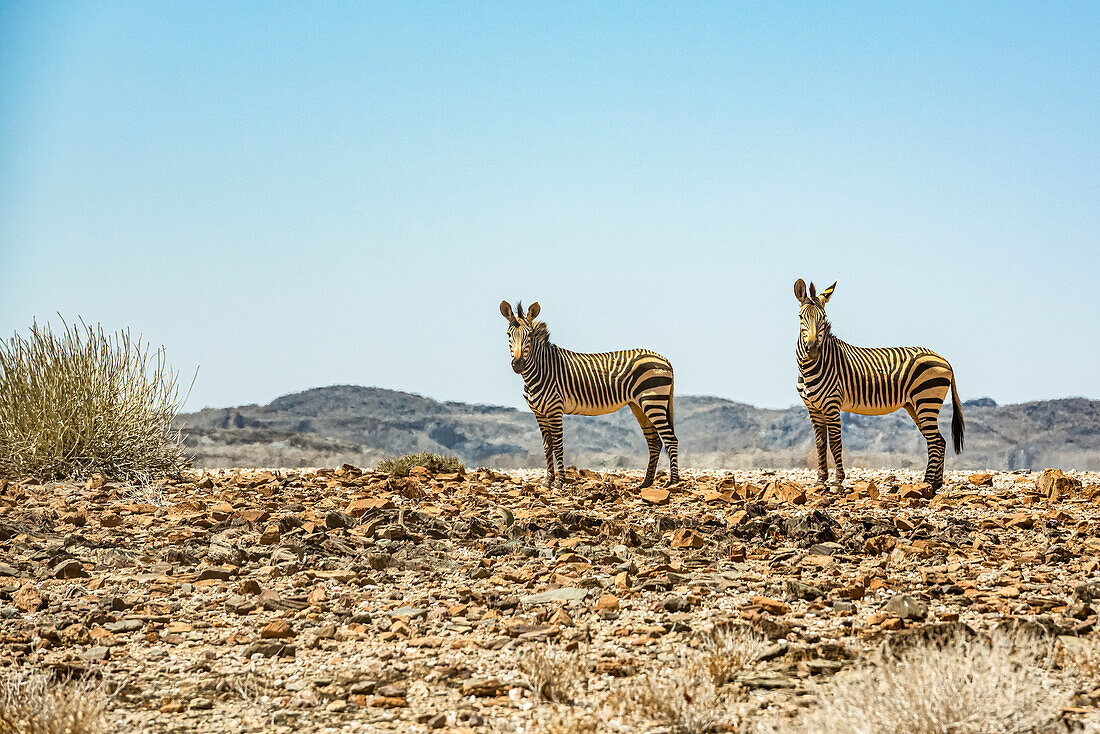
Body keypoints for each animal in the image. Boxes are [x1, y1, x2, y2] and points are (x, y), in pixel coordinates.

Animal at [501, 301, 677, 490]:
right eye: (508, 334)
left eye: (530, 335)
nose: (518, 364)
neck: (541, 370)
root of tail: (665, 359)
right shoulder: (539, 413)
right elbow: (547, 447)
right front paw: (547, 482)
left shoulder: (555, 410)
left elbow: (558, 446)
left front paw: (559, 483)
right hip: (639, 406)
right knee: (655, 442)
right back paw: (646, 483)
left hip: (653, 401)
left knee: (670, 439)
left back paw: (673, 482)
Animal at [792, 278, 963, 490]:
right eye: (801, 317)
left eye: (823, 318)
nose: (813, 349)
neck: (812, 367)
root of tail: (944, 358)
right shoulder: (813, 408)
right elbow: (820, 443)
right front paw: (820, 480)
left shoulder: (832, 405)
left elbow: (835, 443)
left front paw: (837, 480)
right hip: (915, 406)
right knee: (939, 441)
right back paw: (935, 483)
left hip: (926, 401)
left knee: (934, 441)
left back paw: (927, 483)